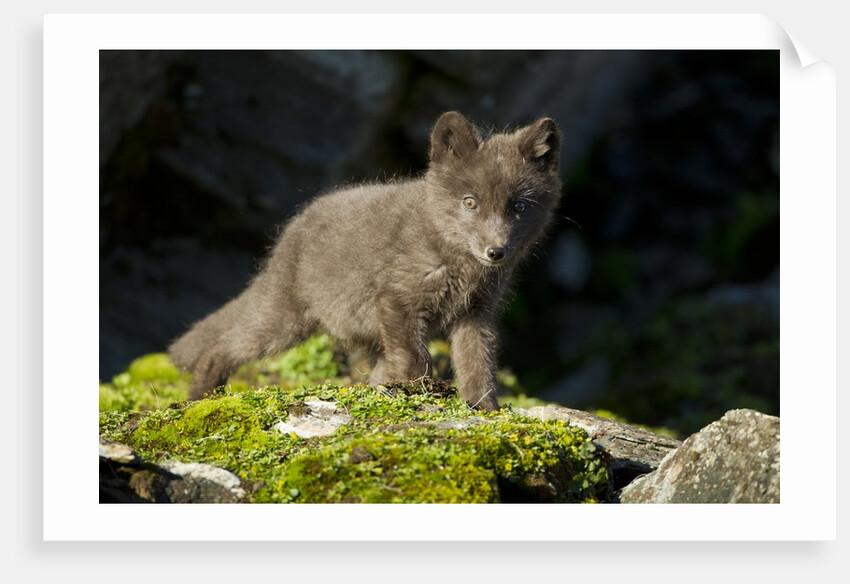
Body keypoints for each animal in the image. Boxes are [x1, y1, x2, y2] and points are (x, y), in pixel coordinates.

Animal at [168, 111, 562, 411]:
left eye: (519, 207)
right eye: (470, 203)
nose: (496, 251)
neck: (460, 265)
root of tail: (293, 228)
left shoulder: (477, 314)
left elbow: (478, 366)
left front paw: (484, 410)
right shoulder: (396, 301)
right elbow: (416, 362)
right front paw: (419, 395)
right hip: (285, 321)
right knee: (222, 346)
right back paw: (199, 399)